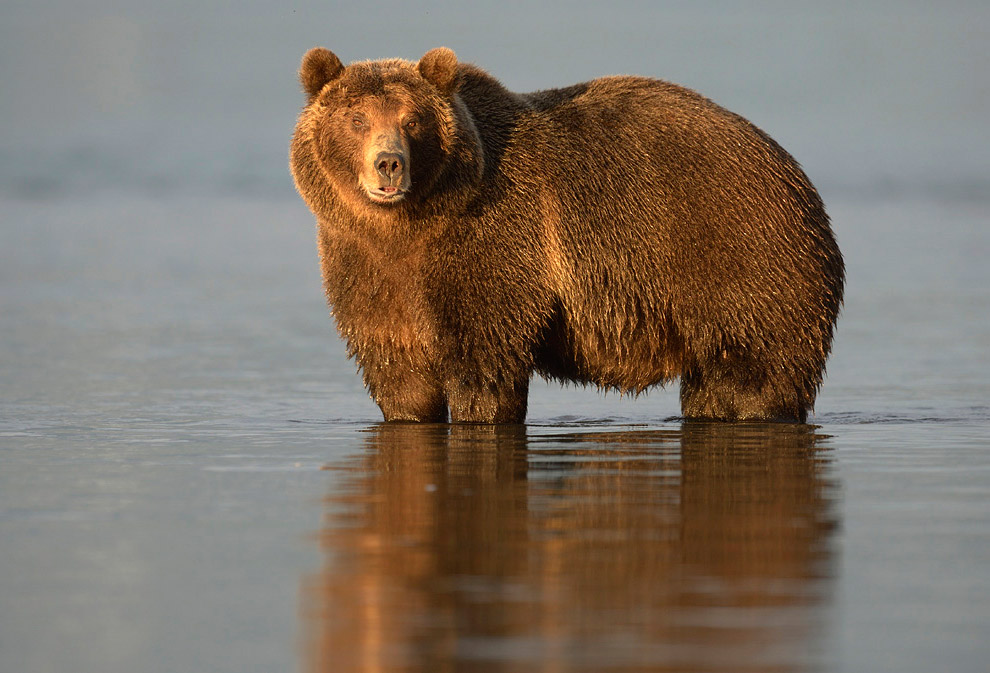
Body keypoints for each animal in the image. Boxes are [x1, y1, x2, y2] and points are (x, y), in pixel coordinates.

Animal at [288, 47, 844, 422]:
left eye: (412, 119)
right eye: (356, 117)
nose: (389, 163)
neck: (410, 226)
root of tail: (792, 171)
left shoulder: (492, 244)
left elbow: (485, 361)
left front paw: (480, 410)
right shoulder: (366, 267)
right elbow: (398, 375)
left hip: (738, 261)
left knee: (757, 377)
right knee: (713, 386)